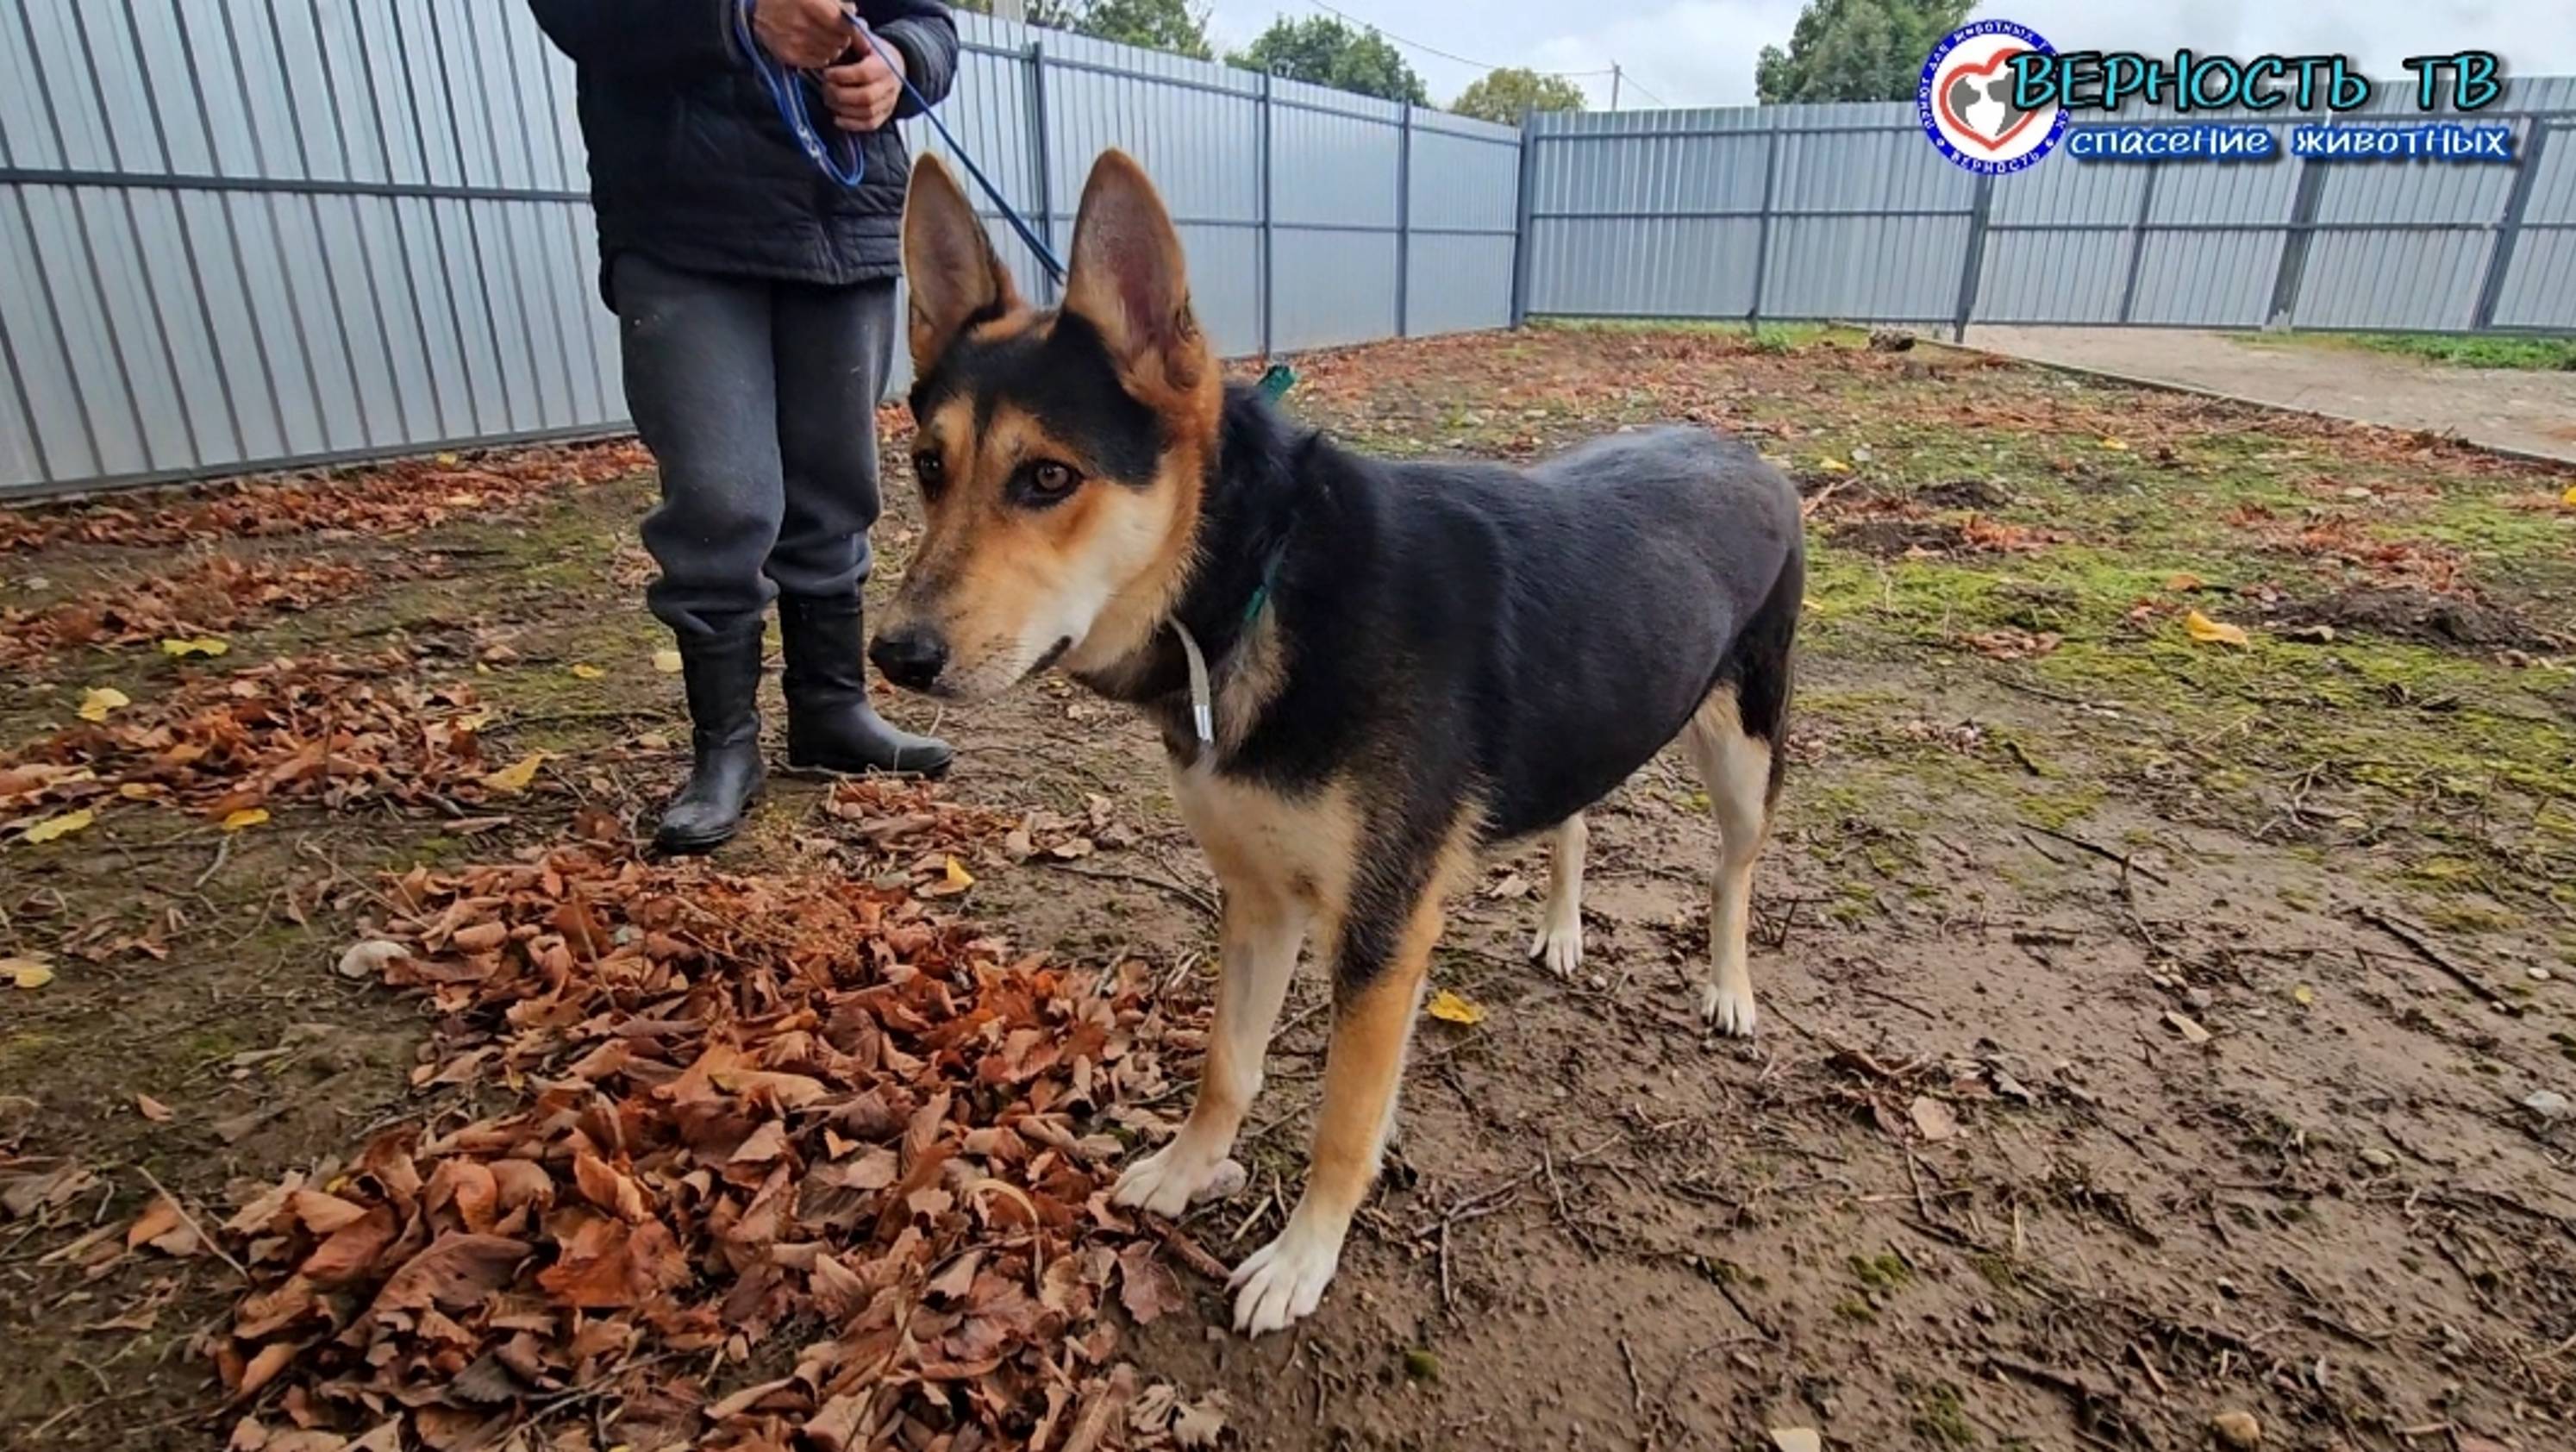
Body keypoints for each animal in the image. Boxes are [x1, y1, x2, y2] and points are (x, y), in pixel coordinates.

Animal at [875, 150, 1803, 1338]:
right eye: (927, 467)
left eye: (1047, 477)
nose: (894, 654)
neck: (1258, 576)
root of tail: (1740, 447)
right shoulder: (1261, 898)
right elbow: (1228, 1065)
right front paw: (1189, 1170)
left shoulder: (1379, 933)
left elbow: (1342, 1123)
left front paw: (1302, 1258)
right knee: (1576, 821)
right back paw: (1560, 928)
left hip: (1742, 753)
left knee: (1734, 873)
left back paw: (1729, 990)